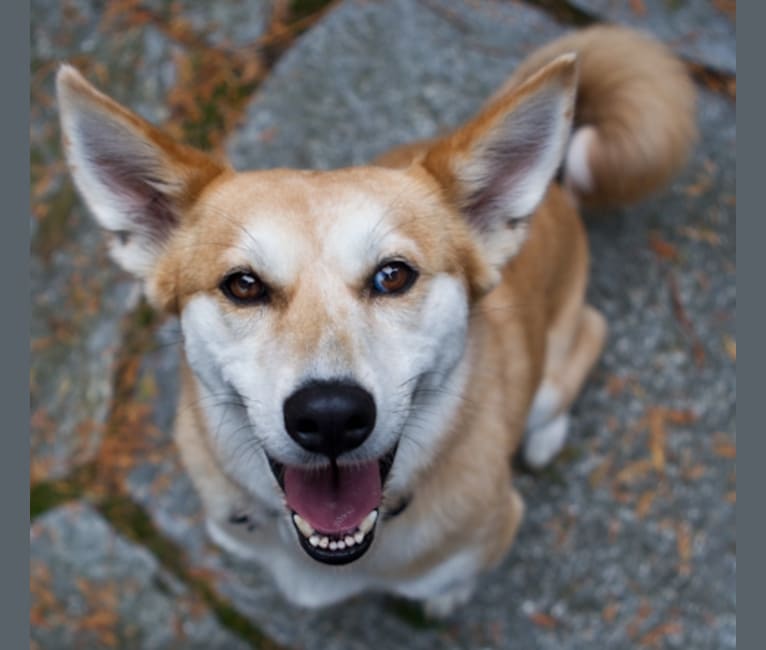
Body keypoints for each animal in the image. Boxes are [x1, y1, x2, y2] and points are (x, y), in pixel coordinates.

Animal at [57, 25, 700, 612]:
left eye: (394, 276)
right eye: (243, 285)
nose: (331, 416)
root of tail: (557, 187)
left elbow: (450, 585)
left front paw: (445, 602)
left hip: (556, 363)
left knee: (589, 336)